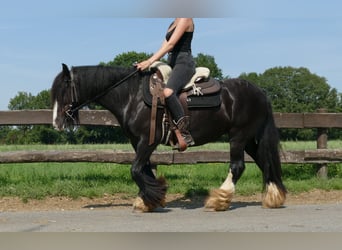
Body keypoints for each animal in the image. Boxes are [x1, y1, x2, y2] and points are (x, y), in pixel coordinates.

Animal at [50, 63, 286, 212]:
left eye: (63, 90)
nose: (57, 123)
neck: (132, 97)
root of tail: (260, 92)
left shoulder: (148, 141)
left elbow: (135, 170)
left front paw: (151, 198)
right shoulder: (137, 142)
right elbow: (144, 169)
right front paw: (150, 199)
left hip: (238, 136)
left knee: (237, 166)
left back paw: (220, 200)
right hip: (249, 139)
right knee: (264, 161)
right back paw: (274, 197)